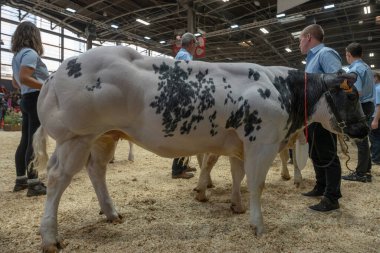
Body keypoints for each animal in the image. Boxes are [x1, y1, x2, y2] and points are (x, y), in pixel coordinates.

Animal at [31, 45, 368, 251]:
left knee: (96, 170)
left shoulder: (237, 144)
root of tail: (57, 72)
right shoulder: (262, 142)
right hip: (76, 136)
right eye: (352, 96)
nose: (365, 129)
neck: (281, 89)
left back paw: (111, 212)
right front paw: (258, 225)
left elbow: (237, 176)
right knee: (57, 178)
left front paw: (235, 205)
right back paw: (50, 236)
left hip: (104, 136)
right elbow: (256, 184)